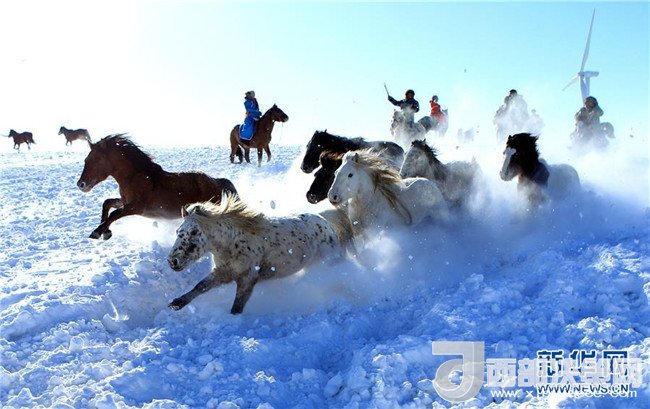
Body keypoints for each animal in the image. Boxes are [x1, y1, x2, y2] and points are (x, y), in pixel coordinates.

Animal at [77, 134, 237, 240]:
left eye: (96, 160)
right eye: (86, 159)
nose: (81, 184)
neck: (134, 177)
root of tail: (218, 183)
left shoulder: (137, 207)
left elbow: (115, 213)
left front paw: (97, 232)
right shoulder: (126, 201)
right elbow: (108, 203)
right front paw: (106, 232)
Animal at [167, 195, 345, 314]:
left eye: (194, 232)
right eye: (177, 231)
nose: (172, 261)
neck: (231, 244)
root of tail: (326, 223)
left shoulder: (247, 279)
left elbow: (237, 306)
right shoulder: (223, 273)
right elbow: (201, 286)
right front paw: (177, 303)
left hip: (329, 262)